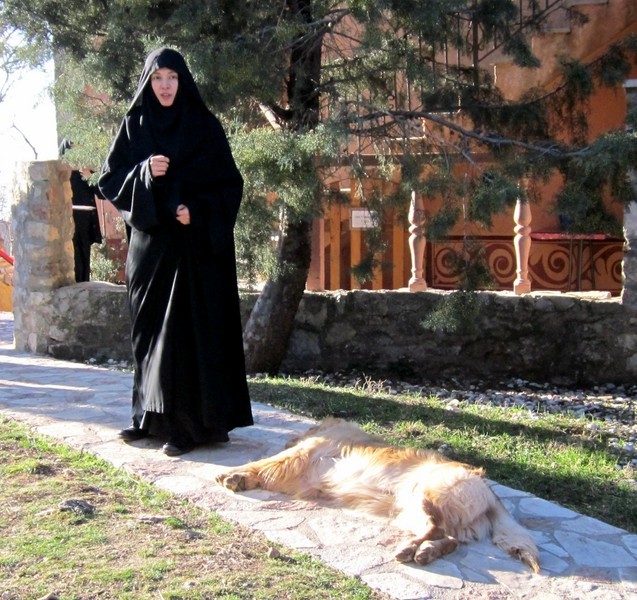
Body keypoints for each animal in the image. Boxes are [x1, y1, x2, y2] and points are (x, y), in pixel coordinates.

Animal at [216, 418, 540, 572]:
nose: (289, 439)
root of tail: (487, 488)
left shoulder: (300, 456)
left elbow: (264, 462)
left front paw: (232, 474)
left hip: (422, 494)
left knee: (436, 528)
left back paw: (410, 550)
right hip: (409, 510)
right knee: (449, 538)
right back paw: (425, 551)